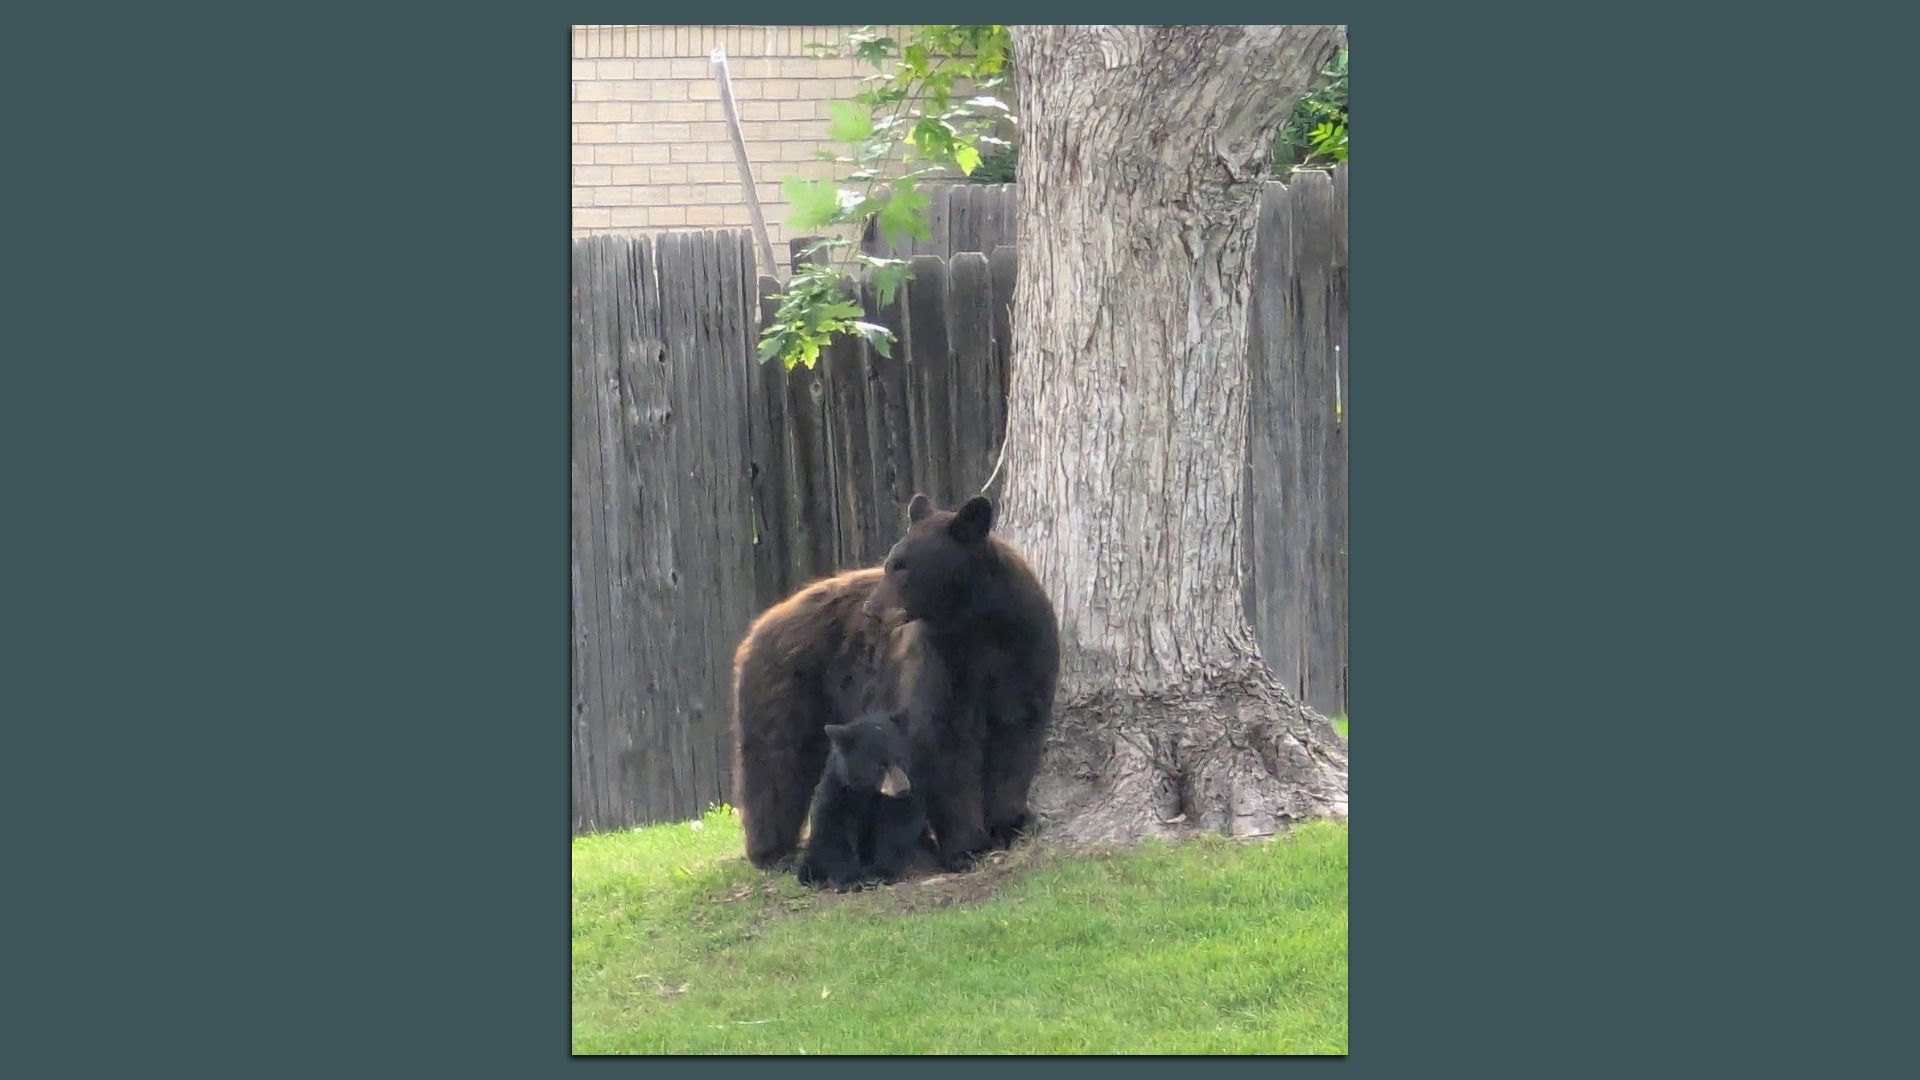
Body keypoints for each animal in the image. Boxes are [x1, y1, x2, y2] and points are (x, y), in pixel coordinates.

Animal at [731, 492, 1059, 873]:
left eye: (903, 566)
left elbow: (1017, 735)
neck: (976, 622)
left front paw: (1009, 822)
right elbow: (944, 743)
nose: (871, 609)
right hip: (790, 687)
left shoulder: (1023, 653)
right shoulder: (940, 661)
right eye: (889, 563)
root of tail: (762, 622)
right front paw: (966, 845)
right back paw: (772, 850)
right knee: (775, 764)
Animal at [795, 711, 928, 891]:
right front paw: (850, 878)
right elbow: (833, 827)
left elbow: (898, 824)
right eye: (880, 765)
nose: (903, 789)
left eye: (900, 759)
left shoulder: (899, 796)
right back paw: (809, 874)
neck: (867, 790)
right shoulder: (838, 789)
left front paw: (880, 872)